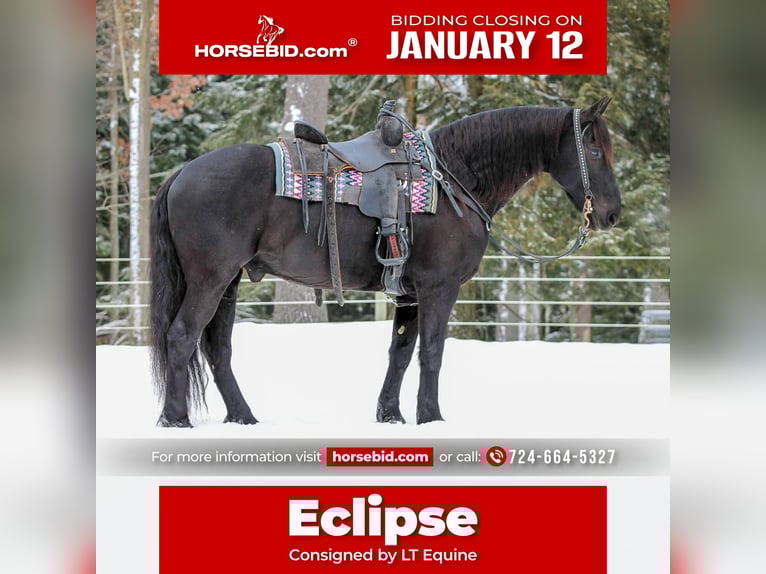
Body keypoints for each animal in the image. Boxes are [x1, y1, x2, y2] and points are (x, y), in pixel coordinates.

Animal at [150, 96, 621, 427]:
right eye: (596, 151)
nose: (612, 214)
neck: (455, 179)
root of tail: (182, 173)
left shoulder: (409, 295)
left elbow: (401, 352)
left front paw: (391, 414)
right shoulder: (438, 288)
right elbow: (432, 352)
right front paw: (432, 417)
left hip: (227, 284)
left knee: (217, 348)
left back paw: (243, 417)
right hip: (210, 280)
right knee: (182, 336)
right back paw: (176, 418)